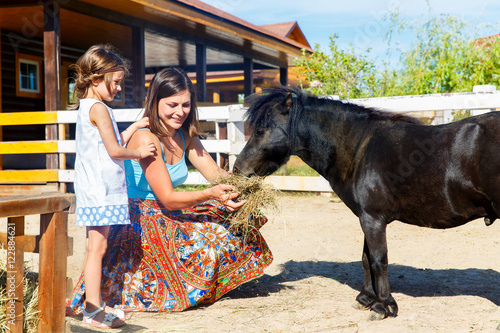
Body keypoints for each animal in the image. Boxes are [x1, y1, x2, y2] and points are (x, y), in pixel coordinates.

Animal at [232, 85, 500, 320]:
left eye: (260, 130)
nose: (237, 170)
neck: (360, 149)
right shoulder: (366, 217)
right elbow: (366, 258)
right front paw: (366, 298)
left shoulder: (373, 219)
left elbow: (379, 260)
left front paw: (383, 306)